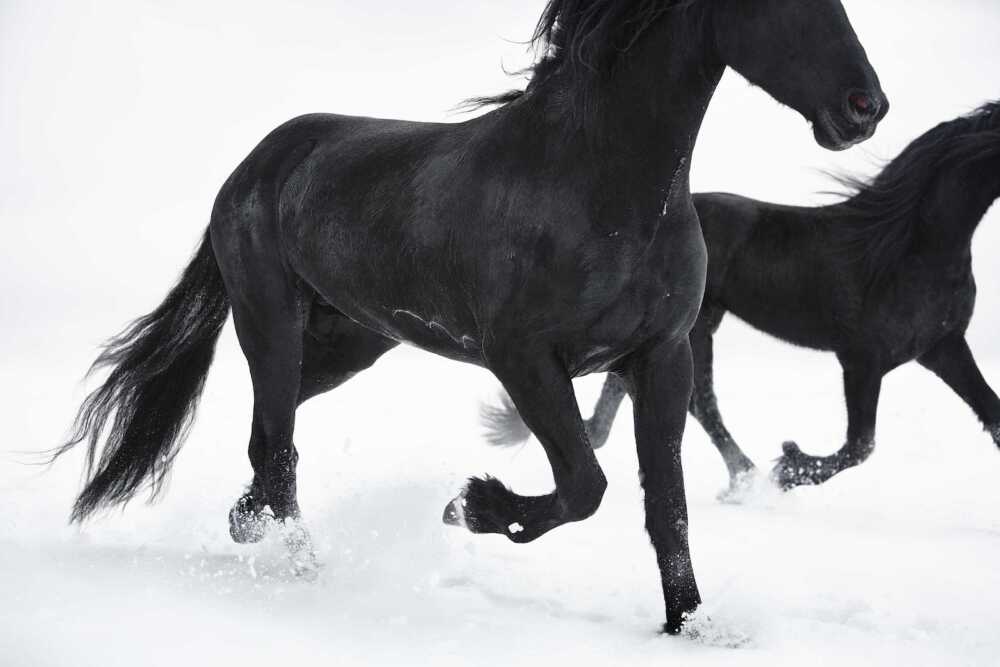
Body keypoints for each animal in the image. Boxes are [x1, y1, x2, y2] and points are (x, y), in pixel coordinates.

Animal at [53, 0, 886, 634]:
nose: (865, 108)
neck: (598, 186)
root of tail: (254, 166)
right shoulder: (524, 358)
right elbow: (585, 482)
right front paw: (473, 504)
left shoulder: (663, 356)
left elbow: (667, 507)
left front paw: (691, 622)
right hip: (272, 322)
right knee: (276, 443)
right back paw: (300, 560)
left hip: (353, 341)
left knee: (270, 432)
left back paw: (247, 521)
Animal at [487, 102, 1000, 497]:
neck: (910, 249)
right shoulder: (860, 358)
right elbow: (860, 446)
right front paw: (789, 467)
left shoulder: (943, 348)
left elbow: (991, 415)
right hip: (695, 328)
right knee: (700, 402)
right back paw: (745, 480)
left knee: (639, 388)